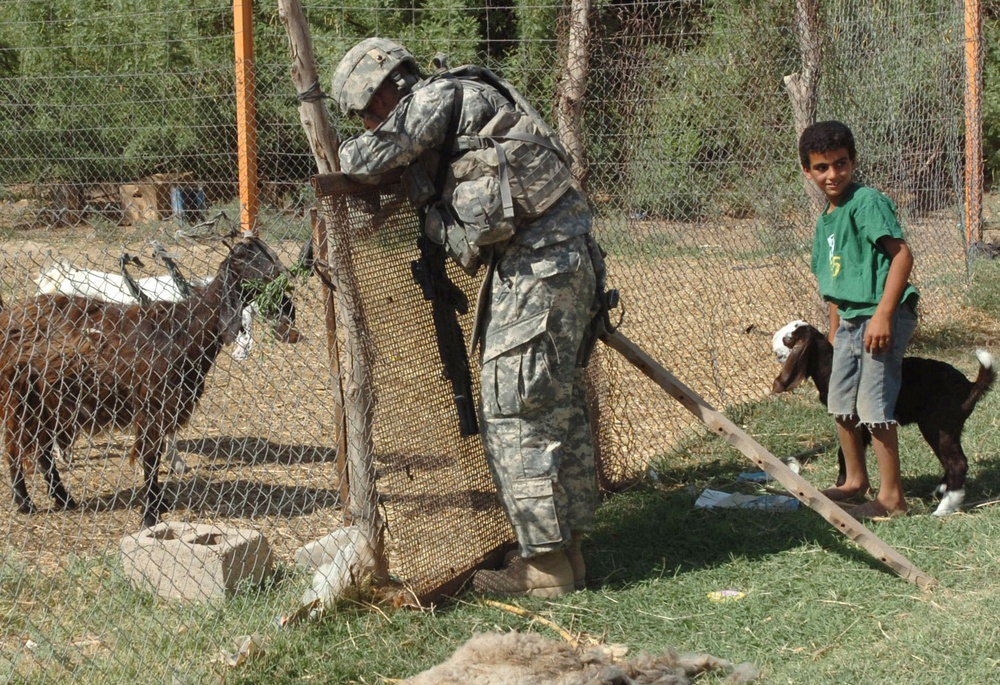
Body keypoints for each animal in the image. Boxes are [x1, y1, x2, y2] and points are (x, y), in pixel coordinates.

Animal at [0, 235, 298, 524]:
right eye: (244, 263)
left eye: (270, 258)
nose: (283, 280)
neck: (181, 330)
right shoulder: (152, 403)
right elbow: (151, 456)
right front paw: (150, 513)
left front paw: (159, 504)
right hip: (18, 395)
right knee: (15, 446)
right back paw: (25, 502)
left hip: (46, 399)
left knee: (41, 448)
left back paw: (63, 499)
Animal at [772, 320, 992, 512]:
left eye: (789, 338)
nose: (773, 343)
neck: (830, 365)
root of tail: (970, 386)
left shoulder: (853, 420)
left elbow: (843, 453)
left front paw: (841, 485)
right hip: (950, 428)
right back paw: (942, 490)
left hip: (938, 425)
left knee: (957, 462)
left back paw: (944, 507)